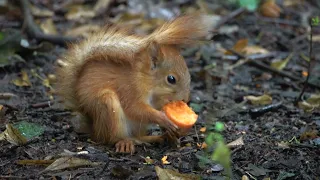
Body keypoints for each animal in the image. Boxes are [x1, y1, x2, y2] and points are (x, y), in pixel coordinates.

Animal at [55, 14, 215, 154]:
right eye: (171, 79)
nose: (185, 100)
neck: (145, 78)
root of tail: (94, 128)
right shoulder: (130, 89)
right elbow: (135, 108)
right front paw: (163, 118)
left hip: (137, 124)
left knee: (137, 135)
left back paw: (158, 137)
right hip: (107, 106)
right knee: (112, 138)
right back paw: (125, 142)